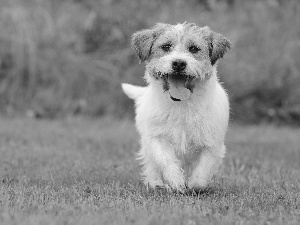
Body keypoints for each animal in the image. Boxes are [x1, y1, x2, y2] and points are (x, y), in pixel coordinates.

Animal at [120, 22, 231, 192]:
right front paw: (175, 181)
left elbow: (203, 170)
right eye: (166, 46)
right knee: (151, 164)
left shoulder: (212, 144)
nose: (179, 63)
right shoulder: (156, 137)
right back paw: (156, 183)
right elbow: (165, 159)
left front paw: (194, 185)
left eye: (194, 49)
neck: (181, 105)